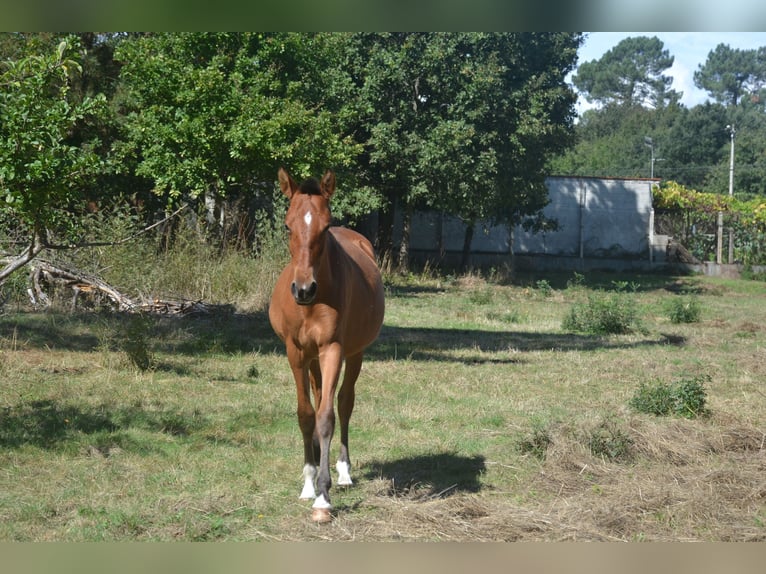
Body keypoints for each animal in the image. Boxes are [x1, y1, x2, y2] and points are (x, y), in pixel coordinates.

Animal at [272, 169, 390, 524]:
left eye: (325, 226)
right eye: (288, 225)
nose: (304, 289)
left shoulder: (333, 349)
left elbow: (326, 416)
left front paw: (323, 498)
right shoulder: (296, 353)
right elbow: (305, 414)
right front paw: (309, 482)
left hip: (354, 354)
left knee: (344, 402)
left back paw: (344, 471)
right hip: (312, 359)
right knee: (317, 394)